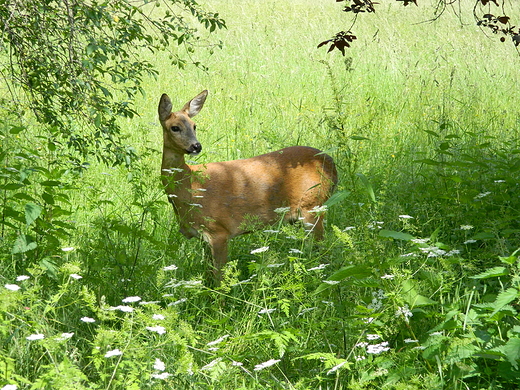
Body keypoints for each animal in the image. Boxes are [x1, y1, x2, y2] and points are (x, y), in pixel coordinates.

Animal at [157, 89, 338, 278]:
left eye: (194, 126)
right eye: (175, 127)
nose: (196, 146)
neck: (190, 187)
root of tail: (331, 164)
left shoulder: (219, 231)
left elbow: (219, 277)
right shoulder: (203, 238)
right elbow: (208, 277)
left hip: (312, 204)